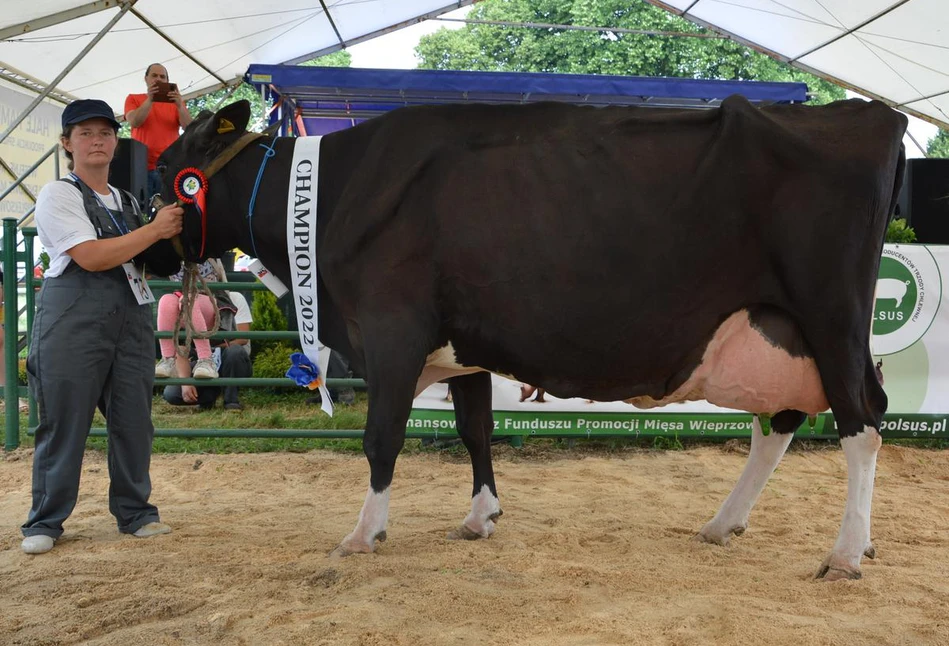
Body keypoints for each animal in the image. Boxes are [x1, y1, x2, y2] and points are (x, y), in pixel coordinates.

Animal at [154, 97, 904, 584]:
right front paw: (480, 517)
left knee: (862, 423)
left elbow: (381, 437)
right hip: (784, 330)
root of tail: (871, 114)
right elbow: (475, 428)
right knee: (781, 422)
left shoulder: (393, 328)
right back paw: (726, 524)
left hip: (831, 316)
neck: (329, 193)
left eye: (168, 171)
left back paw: (844, 553)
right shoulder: (461, 345)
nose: (147, 247)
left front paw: (364, 534)